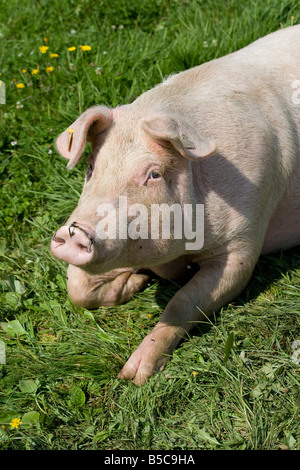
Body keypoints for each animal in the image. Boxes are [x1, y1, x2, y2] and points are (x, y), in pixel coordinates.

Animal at [50, 25, 300, 384]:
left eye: (153, 174)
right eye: (91, 167)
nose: (75, 232)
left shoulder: (244, 240)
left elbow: (183, 301)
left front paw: (133, 375)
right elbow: (77, 288)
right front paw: (138, 281)